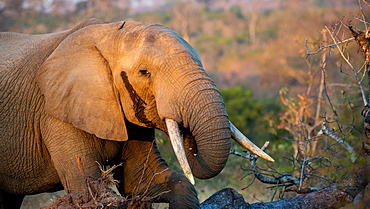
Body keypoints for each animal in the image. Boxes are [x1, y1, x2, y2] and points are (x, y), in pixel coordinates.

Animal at [0, 18, 272, 208]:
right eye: (144, 72)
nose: (186, 130)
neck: (109, 32)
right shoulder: (55, 113)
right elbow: (90, 191)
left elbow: (144, 182)